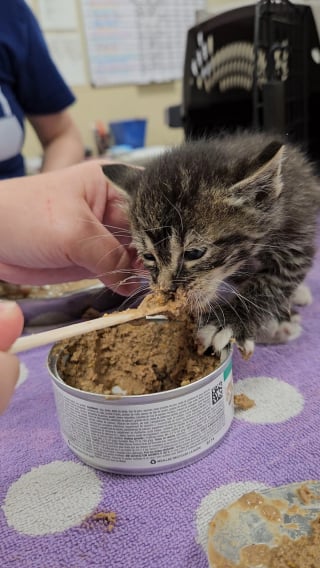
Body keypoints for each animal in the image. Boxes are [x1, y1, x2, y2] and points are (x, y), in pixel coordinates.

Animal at [104, 131, 318, 358]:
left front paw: (228, 321)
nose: (168, 292)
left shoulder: (297, 241)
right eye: (148, 256)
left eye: (194, 253)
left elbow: (272, 283)